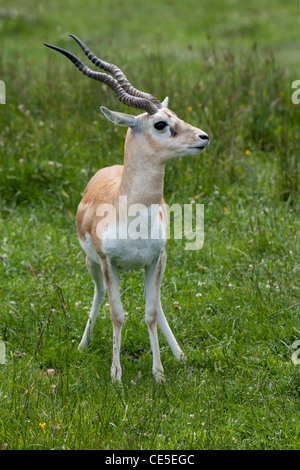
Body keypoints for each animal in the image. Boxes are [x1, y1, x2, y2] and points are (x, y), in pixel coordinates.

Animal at [44, 35, 210, 382]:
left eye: (175, 115)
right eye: (160, 124)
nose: (203, 137)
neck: (131, 216)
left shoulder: (153, 261)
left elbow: (150, 312)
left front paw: (159, 373)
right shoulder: (109, 264)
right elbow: (117, 314)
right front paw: (116, 375)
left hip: (159, 263)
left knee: (156, 303)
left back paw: (180, 355)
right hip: (92, 265)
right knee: (98, 296)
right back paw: (82, 345)